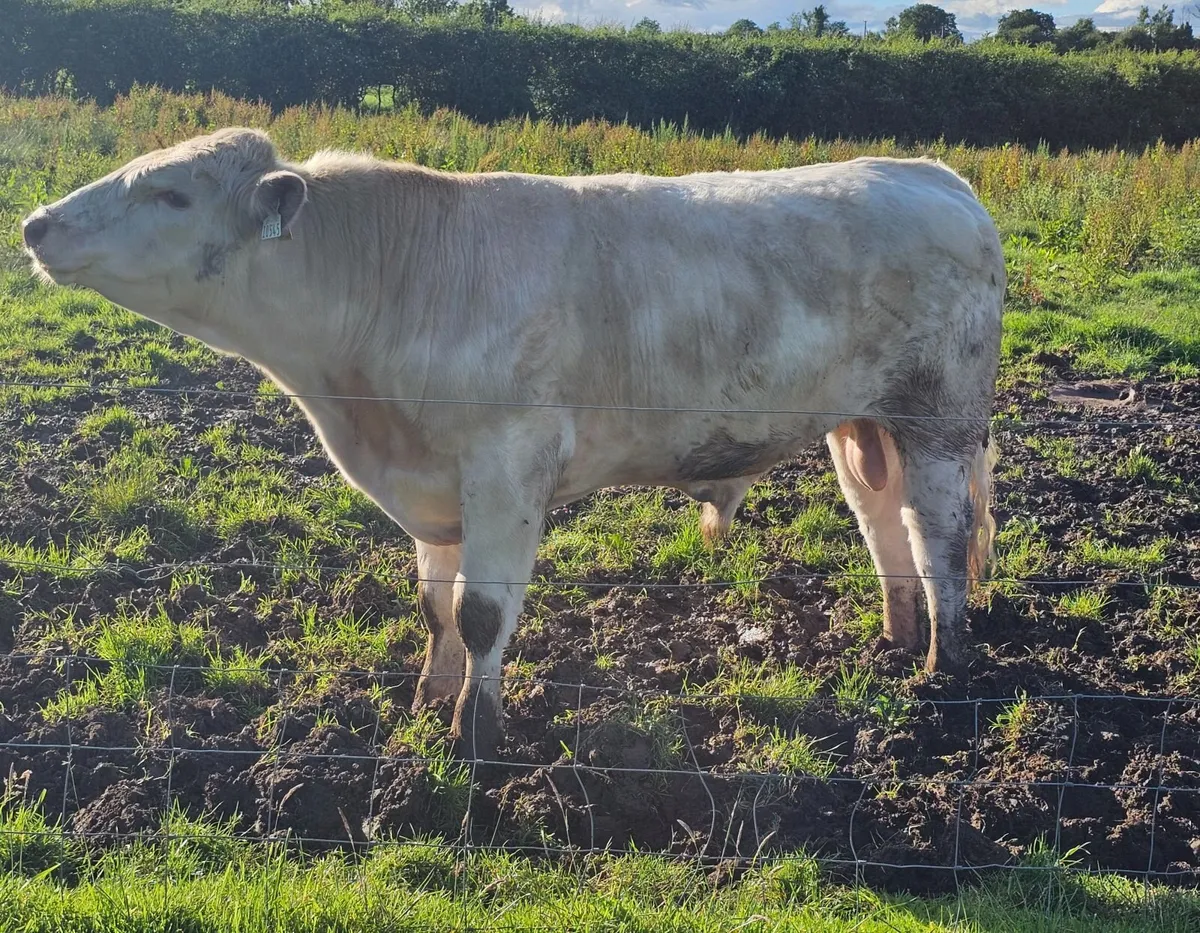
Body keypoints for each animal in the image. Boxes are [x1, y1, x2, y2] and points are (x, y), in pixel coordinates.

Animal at [21, 128, 1004, 760]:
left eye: (171, 192)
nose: (34, 224)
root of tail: (931, 173)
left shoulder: (505, 466)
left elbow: (482, 613)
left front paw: (472, 737)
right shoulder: (435, 484)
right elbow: (434, 605)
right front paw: (426, 701)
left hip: (940, 421)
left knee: (939, 538)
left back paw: (940, 670)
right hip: (859, 424)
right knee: (882, 529)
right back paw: (892, 641)